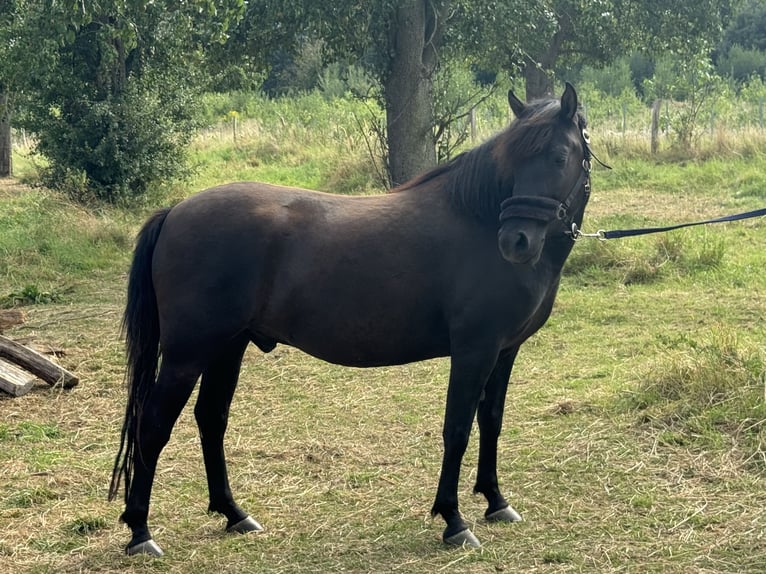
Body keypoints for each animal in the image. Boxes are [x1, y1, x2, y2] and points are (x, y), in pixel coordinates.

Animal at [111, 83, 596, 556]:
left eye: (559, 157)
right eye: (512, 159)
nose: (516, 241)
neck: (476, 219)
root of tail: (174, 211)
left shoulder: (504, 350)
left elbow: (490, 421)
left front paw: (496, 502)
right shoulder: (474, 350)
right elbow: (457, 428)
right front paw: (453, 520)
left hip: (227, 347)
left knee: (211, 419)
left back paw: (234, 514)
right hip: (187, 355)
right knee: (153, 425)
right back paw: (140, 531)